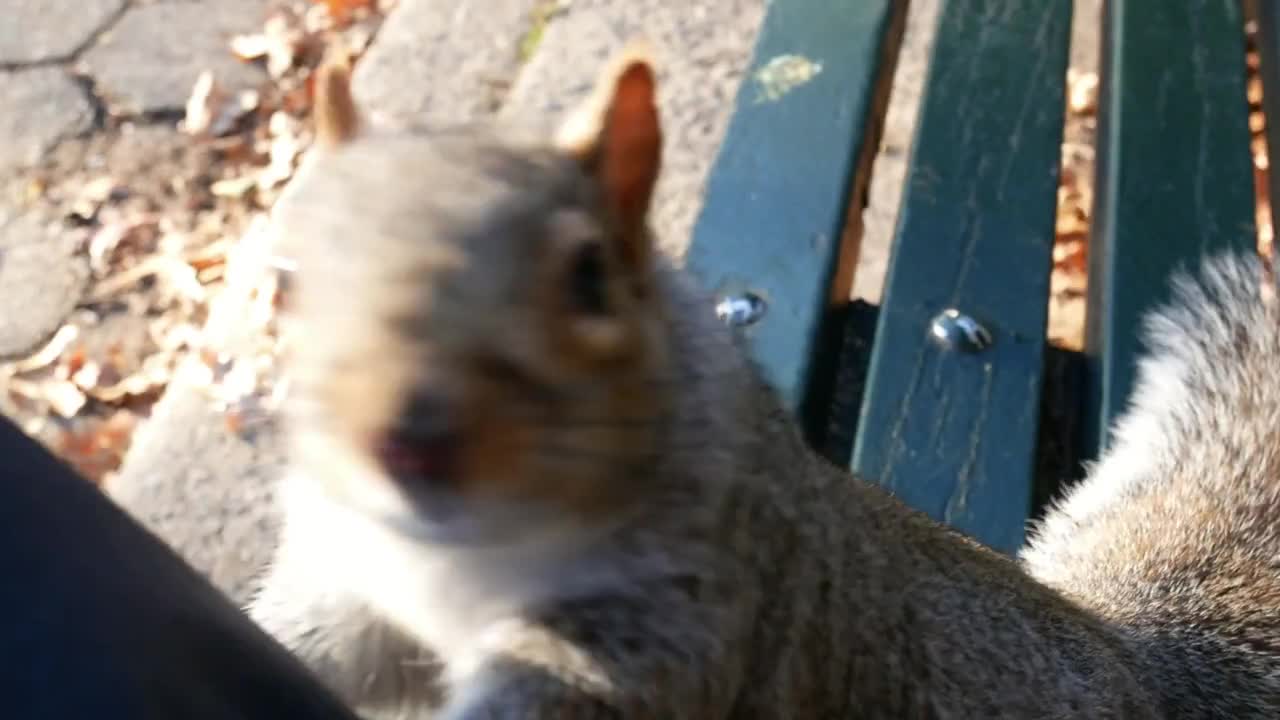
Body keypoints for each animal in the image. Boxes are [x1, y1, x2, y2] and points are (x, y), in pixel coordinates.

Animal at [247, 47, 1280, 712]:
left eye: (589, 275)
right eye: (282, 282)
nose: (405, 443)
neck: (454, 560)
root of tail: (1131, 664)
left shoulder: (703, 603)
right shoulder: (347, 581)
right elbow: (316, 640)